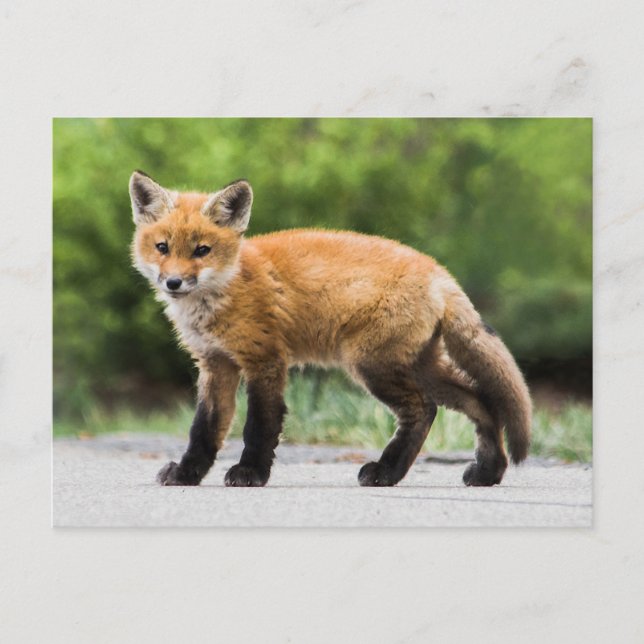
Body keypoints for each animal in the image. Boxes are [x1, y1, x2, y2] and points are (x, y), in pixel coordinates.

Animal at [129, 171, 532, 488]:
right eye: (162, 247)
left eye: (202, 250)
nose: (174, 283)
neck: (226, 290)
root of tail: (439, 272)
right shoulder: (216, 364)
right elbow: (204, 430)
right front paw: (187, 474)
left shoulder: (265, 360)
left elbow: (259, 426)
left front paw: (250, 473)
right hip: (420, 366)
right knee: (478, 401)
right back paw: (486, 471)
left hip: (372, 365)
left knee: (424, 409)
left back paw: (385, 472)